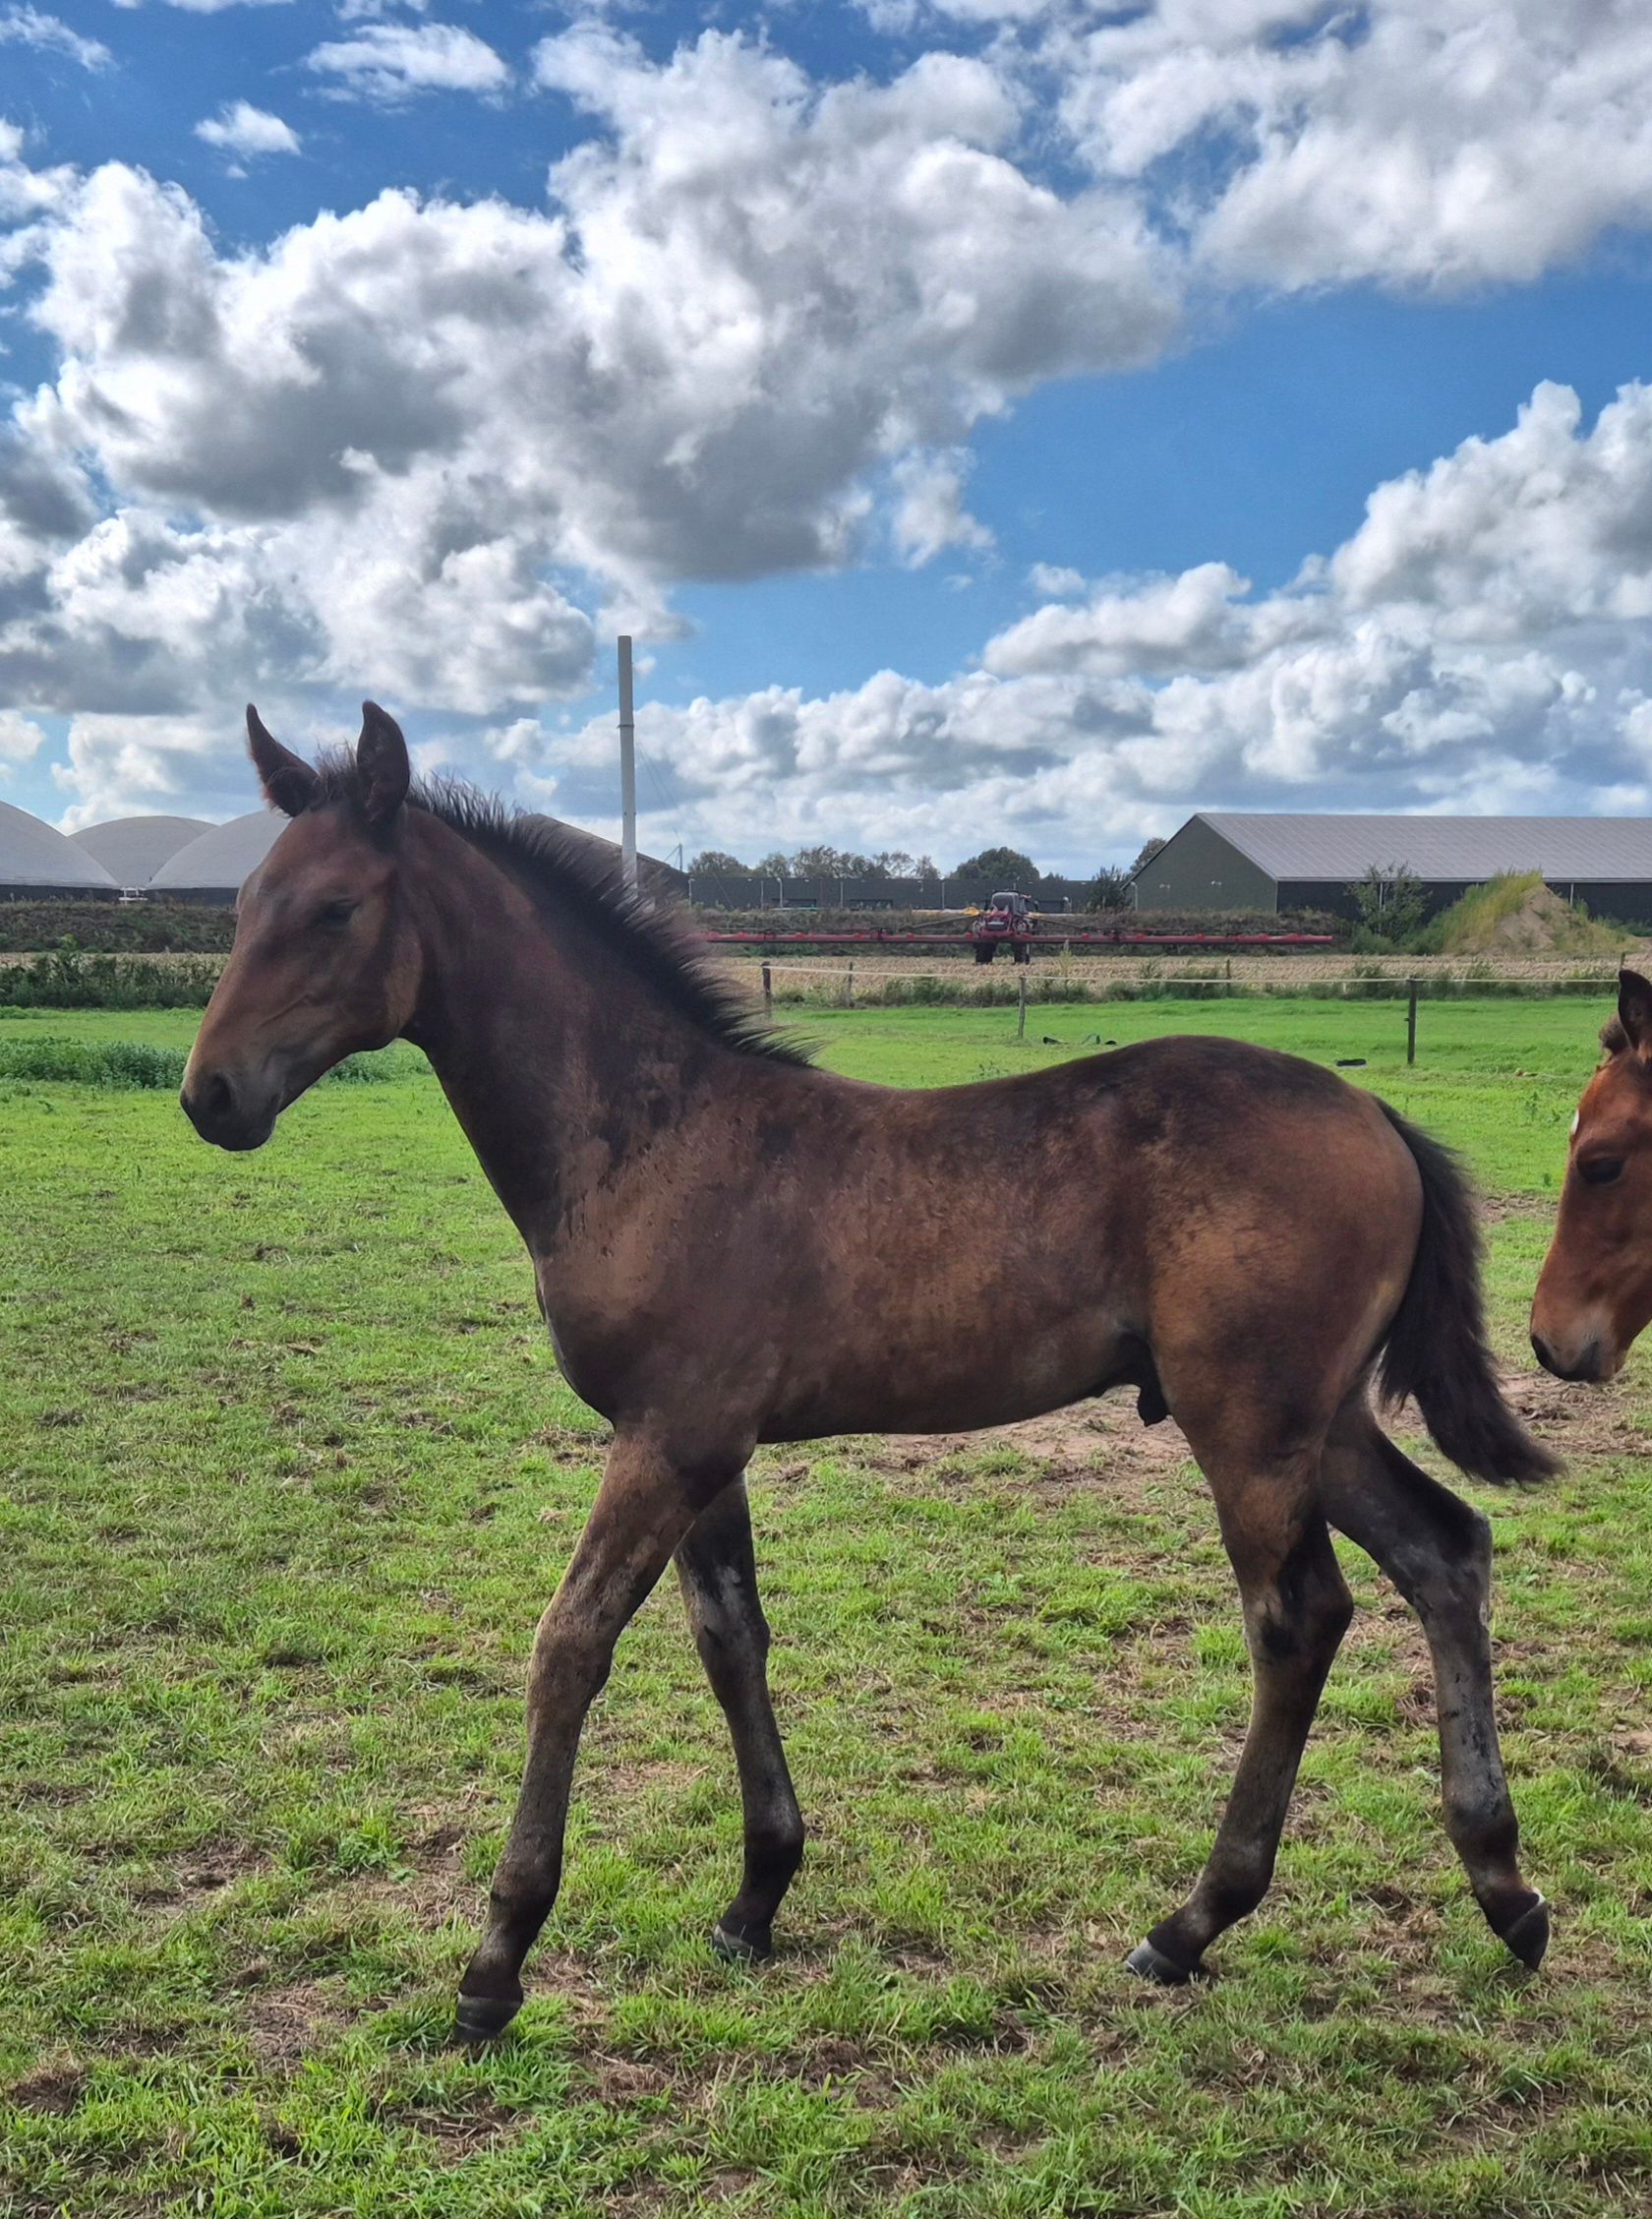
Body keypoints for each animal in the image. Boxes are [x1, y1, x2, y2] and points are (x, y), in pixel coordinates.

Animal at [181, 704, 1557, 2044]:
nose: (210, 1096)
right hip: (1316, 1421)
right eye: (241, 904)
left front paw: (496, 1959)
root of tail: (1379, 1119)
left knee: (1298, 1618)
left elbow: (570, 1644)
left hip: (1248, 1422)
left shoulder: (666, 1439)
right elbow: (729, 1636)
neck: (651, 1137)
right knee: (1444, 1550)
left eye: (335, 908)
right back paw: (1503, 1885)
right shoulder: (703, 1444)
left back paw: (1193, 1921)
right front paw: (755, 1896)